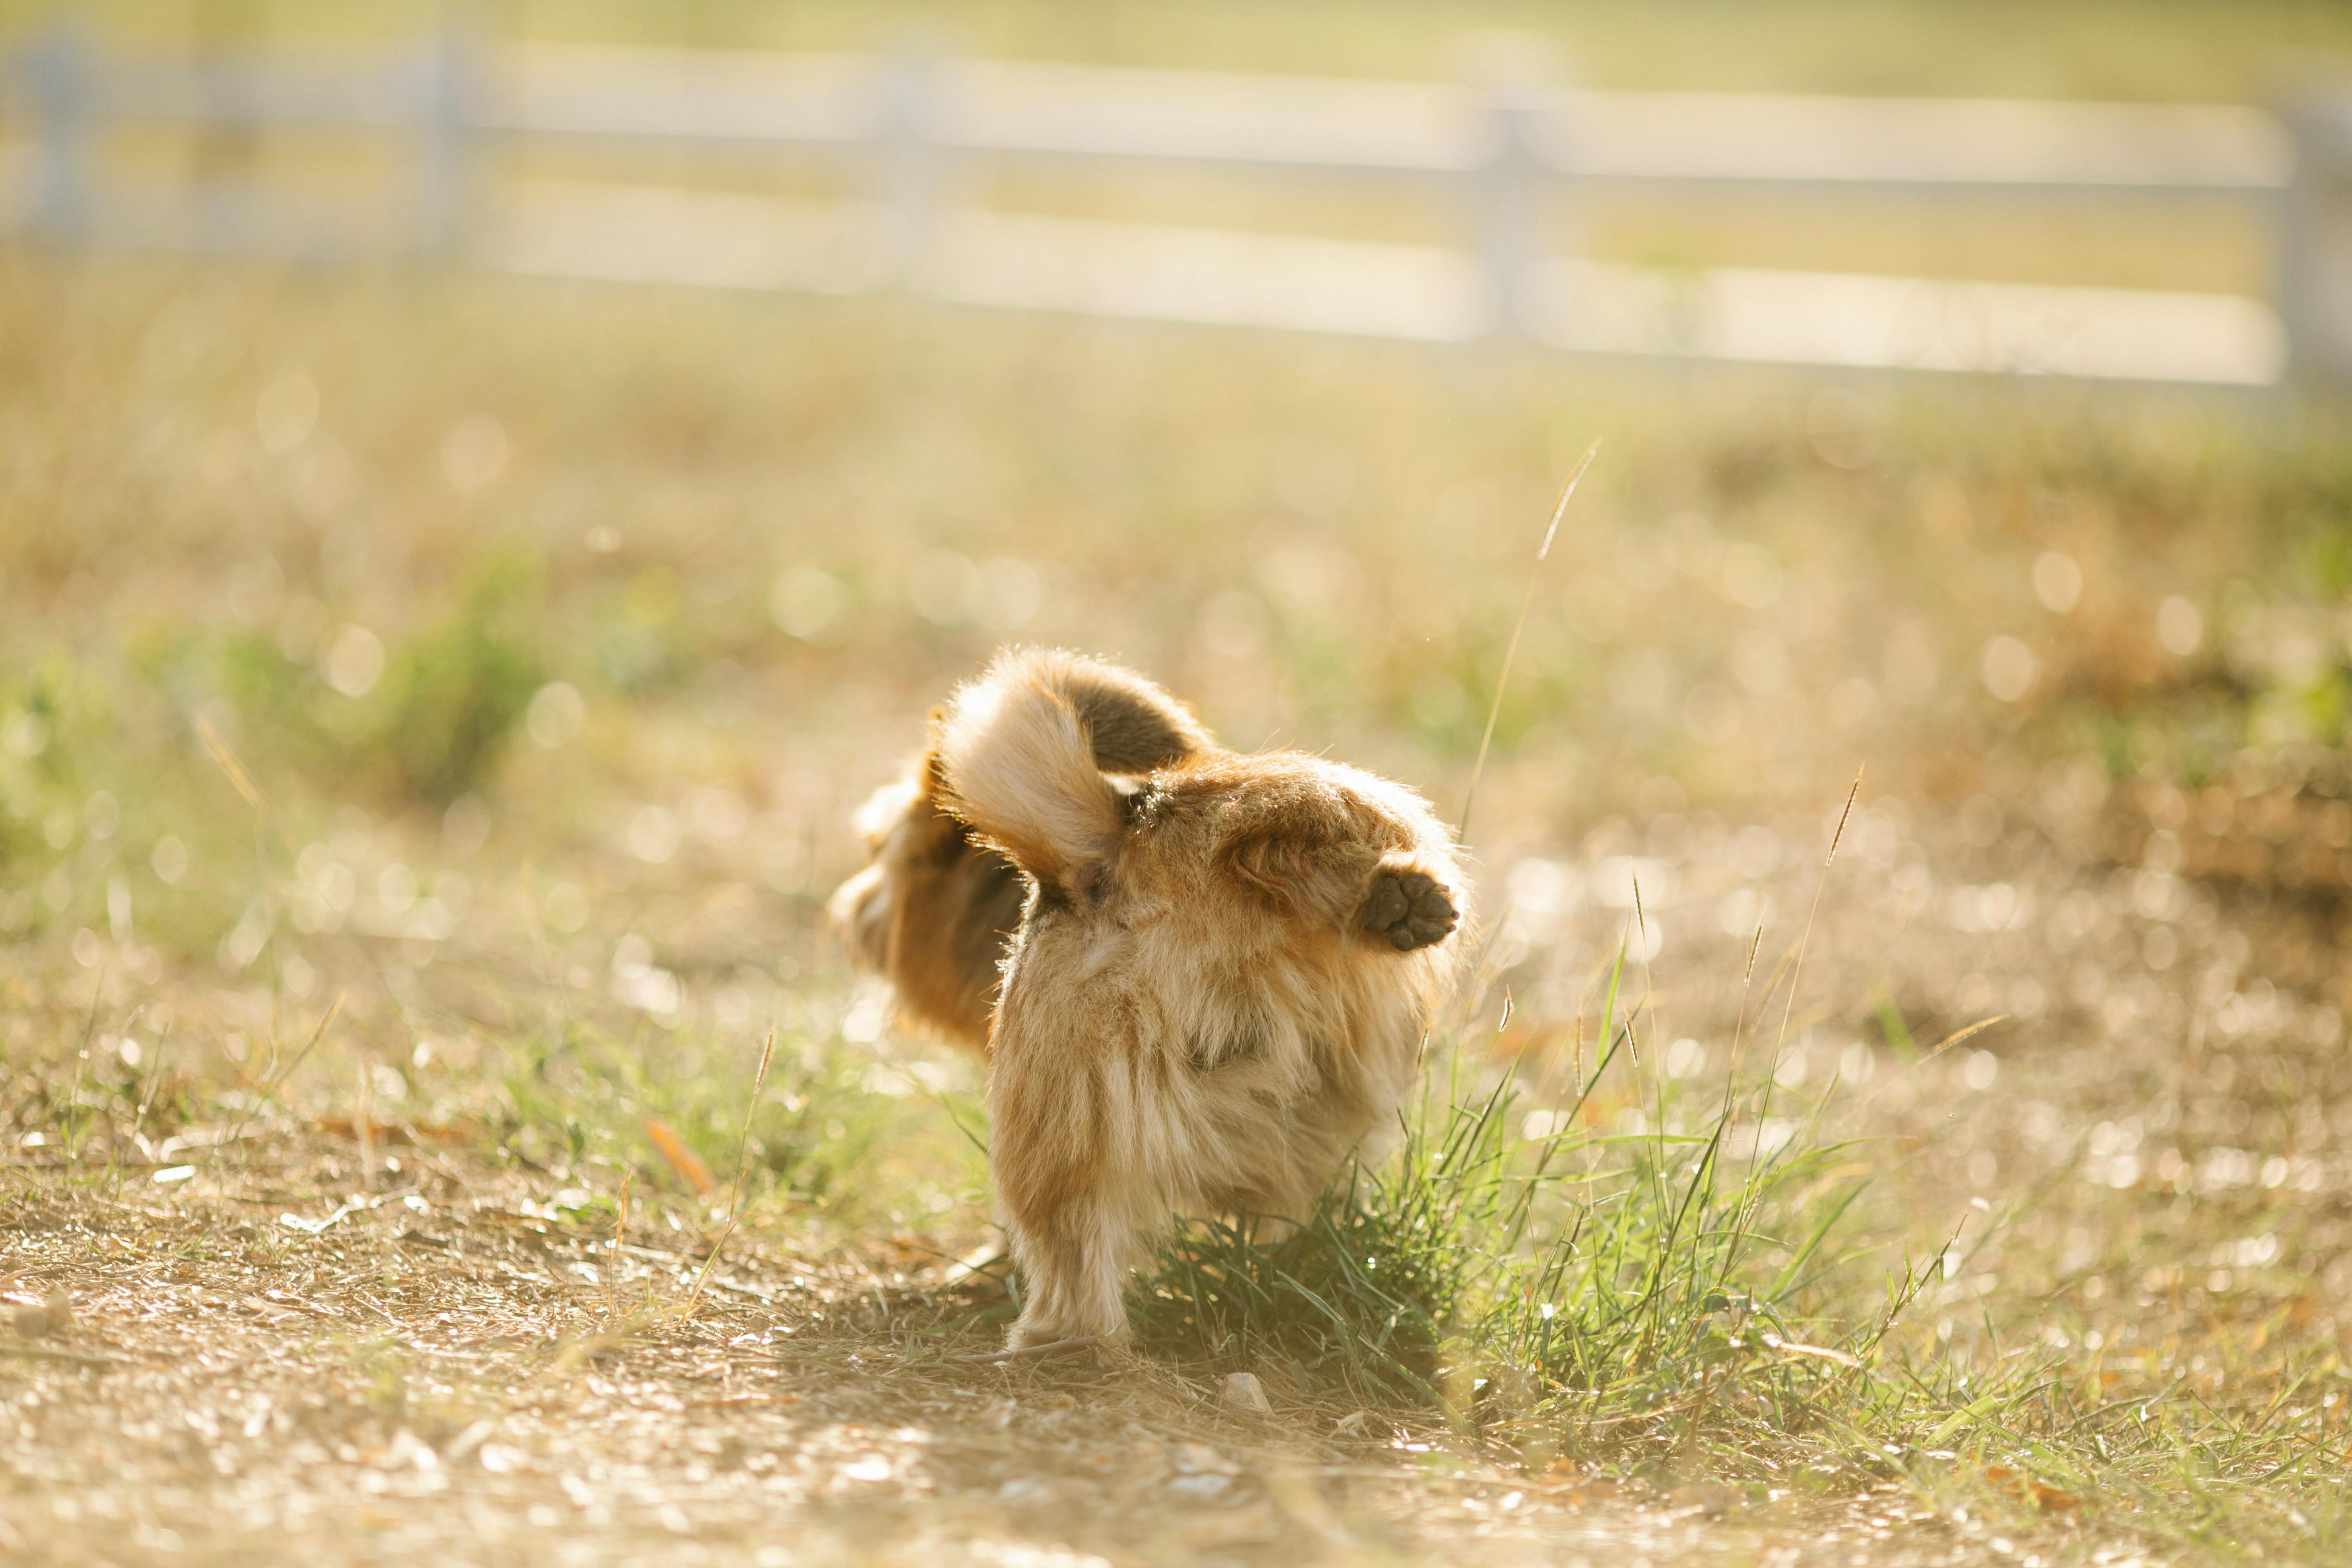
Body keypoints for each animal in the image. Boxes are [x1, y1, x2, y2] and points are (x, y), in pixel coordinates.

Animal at [837, 649, 1458, 1354]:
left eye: (877, 851)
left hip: (1054, 1123)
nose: (848, 910)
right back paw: (1392, 903)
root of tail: (1119, 841)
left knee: (1071, 1254)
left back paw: (1060, 1345)